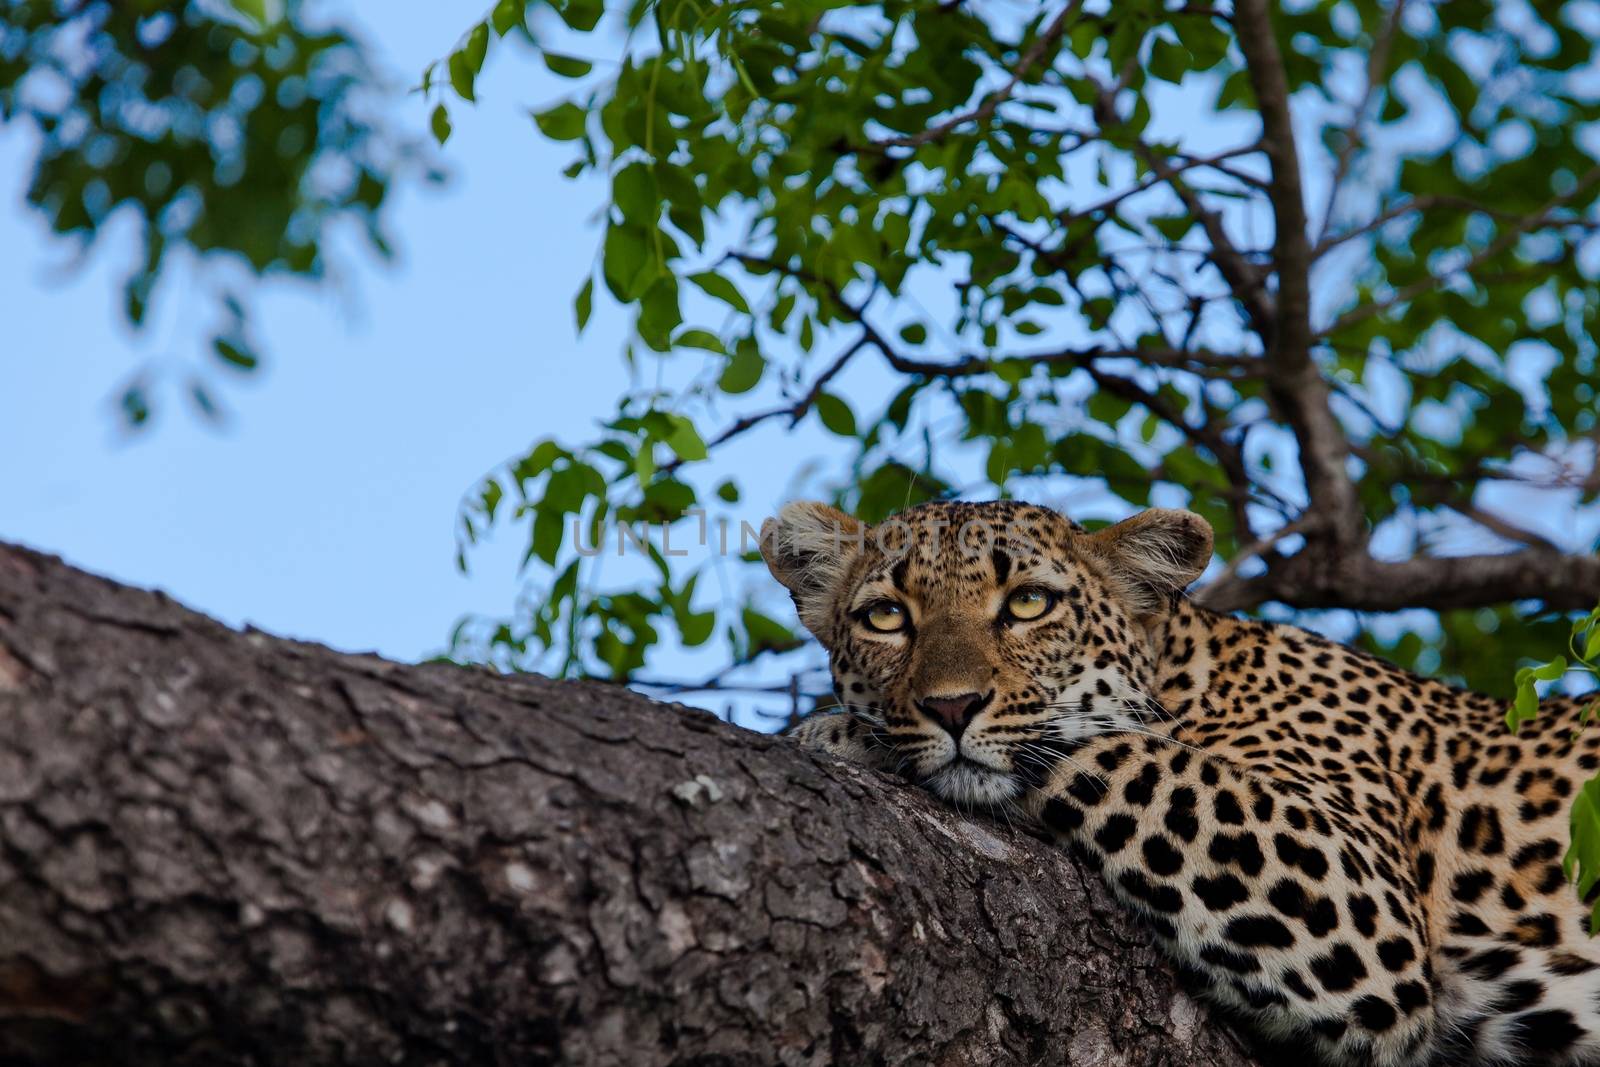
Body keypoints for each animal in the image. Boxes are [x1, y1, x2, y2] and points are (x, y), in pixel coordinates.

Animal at [758, 502, 1600, 1067]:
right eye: (885, 616)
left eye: (1028, 602)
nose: (951, 706)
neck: (1191, 676)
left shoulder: (1355, 892)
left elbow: (1106, 750)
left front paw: (838, 733)